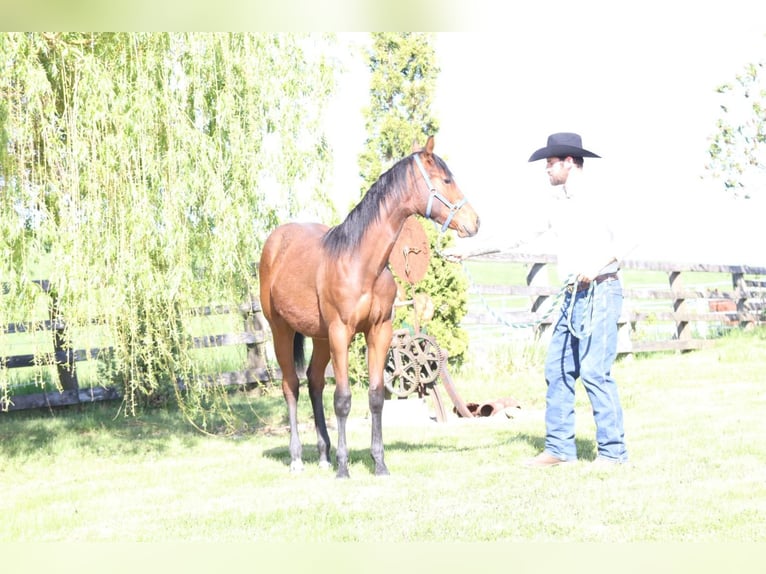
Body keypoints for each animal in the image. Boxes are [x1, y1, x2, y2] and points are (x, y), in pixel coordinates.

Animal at [258, 136, 480, 478]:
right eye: (446, 180)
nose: (474, 221)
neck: (361, 263)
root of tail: (275, 242)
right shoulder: (341, 332)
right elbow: (343, 399)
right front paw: (343, 468)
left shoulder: (379, 331)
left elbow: (376, 397)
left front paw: (379, 464)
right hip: (282, 329)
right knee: (291, 385)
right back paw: (297, 459)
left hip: (320, 337)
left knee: (314, 381)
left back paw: (323, 455)